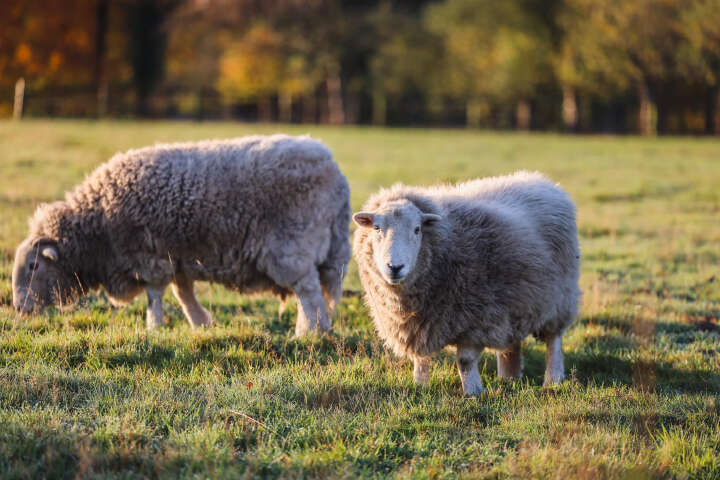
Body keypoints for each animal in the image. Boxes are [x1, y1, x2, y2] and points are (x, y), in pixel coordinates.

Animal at [12, 134, 351, 336]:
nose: (18, 309)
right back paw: (315, 329)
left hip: (291, 247)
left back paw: (310, 332)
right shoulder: (177, 256)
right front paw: (200, 323)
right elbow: (183, 292)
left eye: (33, 266)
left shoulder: (148, 256)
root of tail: (334, 169)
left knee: (308, 292)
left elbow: (155, 294)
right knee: (314, 291)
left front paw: (154, 326)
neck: (98, 226)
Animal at [352, 171, 580, 395]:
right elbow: (420, 359)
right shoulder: (418, 326)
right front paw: (420, 385)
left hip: (559, 298)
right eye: (376, 228)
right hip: (514, 300)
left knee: (553, 341)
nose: (395, 267)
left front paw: (473, 392)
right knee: (511, 341)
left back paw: (553, 380)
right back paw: (509, 378)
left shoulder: (475, 319)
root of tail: (542, 181)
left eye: (417, 229)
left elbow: (465, 360)